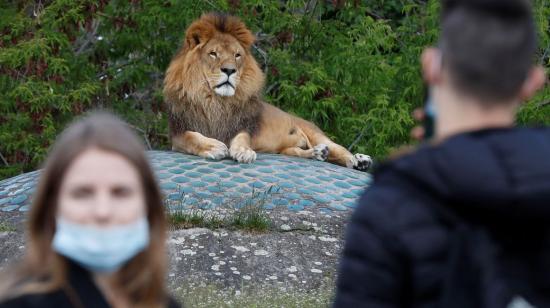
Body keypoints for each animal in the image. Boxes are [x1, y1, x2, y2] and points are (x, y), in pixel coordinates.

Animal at [162, 12, 374, 171]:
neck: (216, 101)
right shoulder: (177, 133)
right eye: (213, 53)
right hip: (288, 149)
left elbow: (242, 138)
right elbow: (191, 137)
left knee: (340, 151)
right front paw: (214, 146)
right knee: (302, 152)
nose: (230, 70)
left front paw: (243, 151)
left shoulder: (243, 126)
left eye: (237, 55)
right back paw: (319, 153)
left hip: (315, 133)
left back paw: (358, 160)